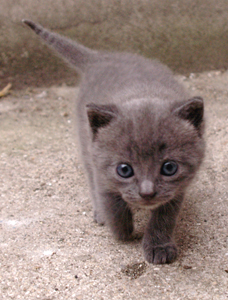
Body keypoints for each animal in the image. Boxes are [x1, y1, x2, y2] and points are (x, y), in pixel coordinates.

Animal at [22, 19, 205, 264]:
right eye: (124, 170)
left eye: (169, 167)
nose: (147, 193)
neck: (142, 92)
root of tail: (100, 57)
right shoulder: (101, 170)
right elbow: (112, 203)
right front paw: (122, 231)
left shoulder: (178, 189)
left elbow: (164, 216)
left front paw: (159, 246)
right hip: (85, 145)